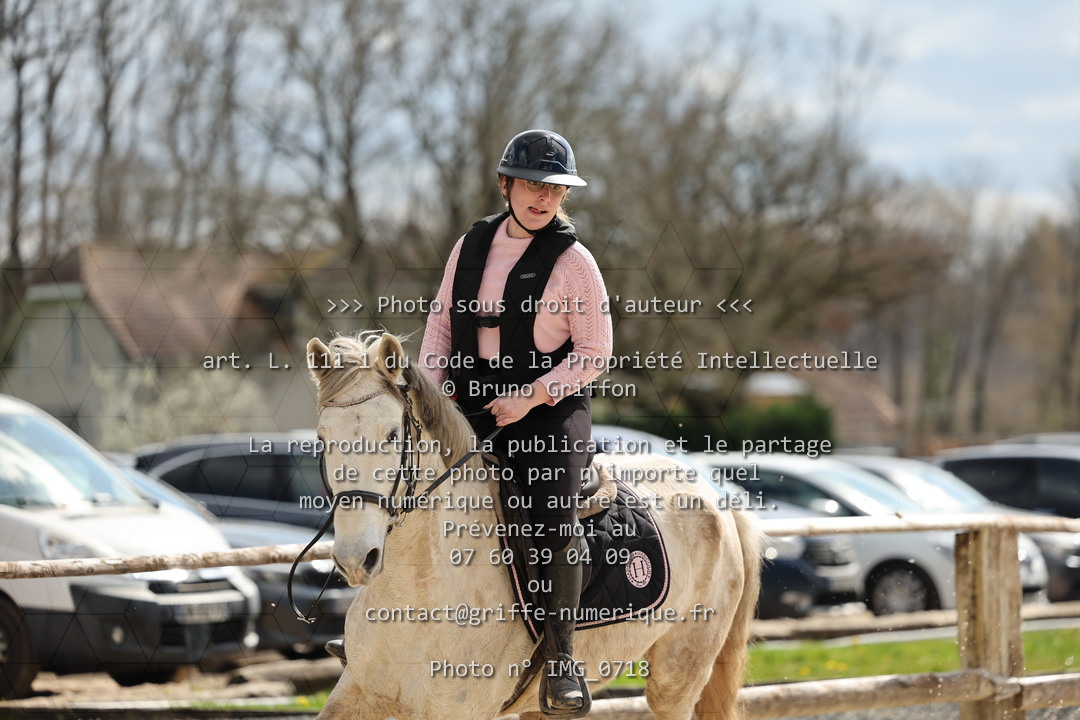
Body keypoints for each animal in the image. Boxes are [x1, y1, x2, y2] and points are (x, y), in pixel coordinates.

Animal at [306, 332, 761, 720]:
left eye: (391, 435)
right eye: (323, 438)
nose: (355, 559)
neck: (418, 589)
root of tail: (712, 490)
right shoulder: (357, 692)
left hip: (679, 672)